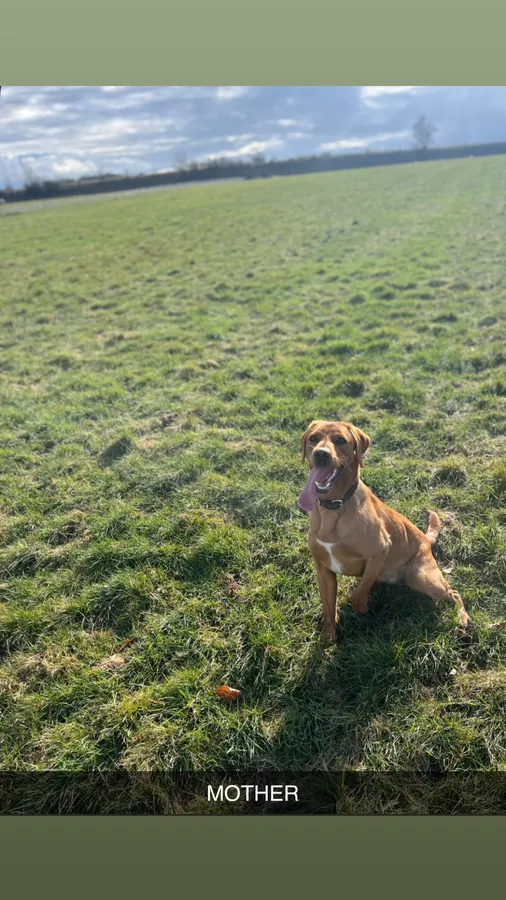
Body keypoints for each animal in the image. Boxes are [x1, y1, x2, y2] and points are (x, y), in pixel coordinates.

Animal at [298, 419, 471, 644]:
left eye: (341, 440)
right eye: (313, 438)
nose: (321, 454)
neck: (334, 507)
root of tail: (426, 539)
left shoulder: (380, 550)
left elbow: (357, 595)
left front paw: (363, 611)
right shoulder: (322, 569)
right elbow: (328, 609)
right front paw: (328, 640)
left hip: (421, 576)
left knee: (454, 592)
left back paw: (463, 619)